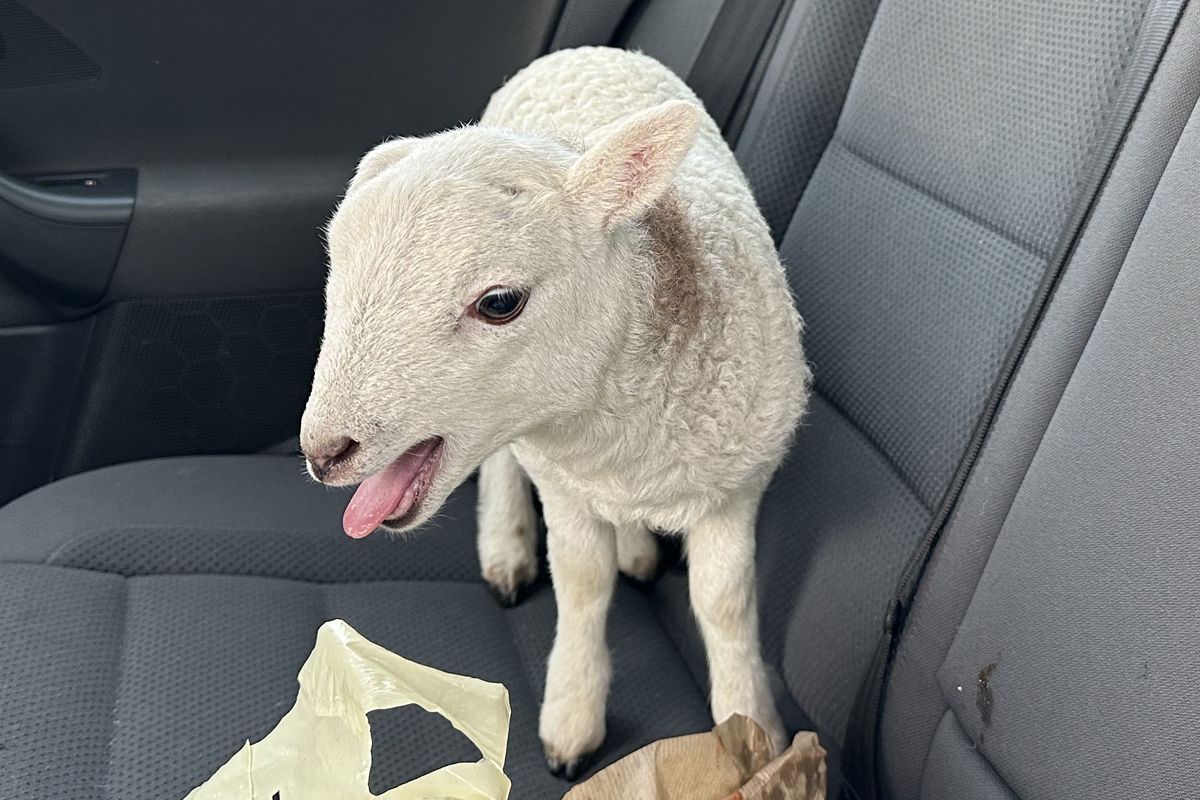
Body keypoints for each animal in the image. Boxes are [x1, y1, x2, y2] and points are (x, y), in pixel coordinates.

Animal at [300, 46, 810, 779]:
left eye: (500, 302)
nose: (323, 451)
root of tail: (587, 51)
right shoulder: (562, 481)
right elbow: (582, 581)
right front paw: (572, 716)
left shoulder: (736, 484)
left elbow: (724, 603)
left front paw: (753, 733)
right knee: (505, 464)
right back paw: (508, 543)